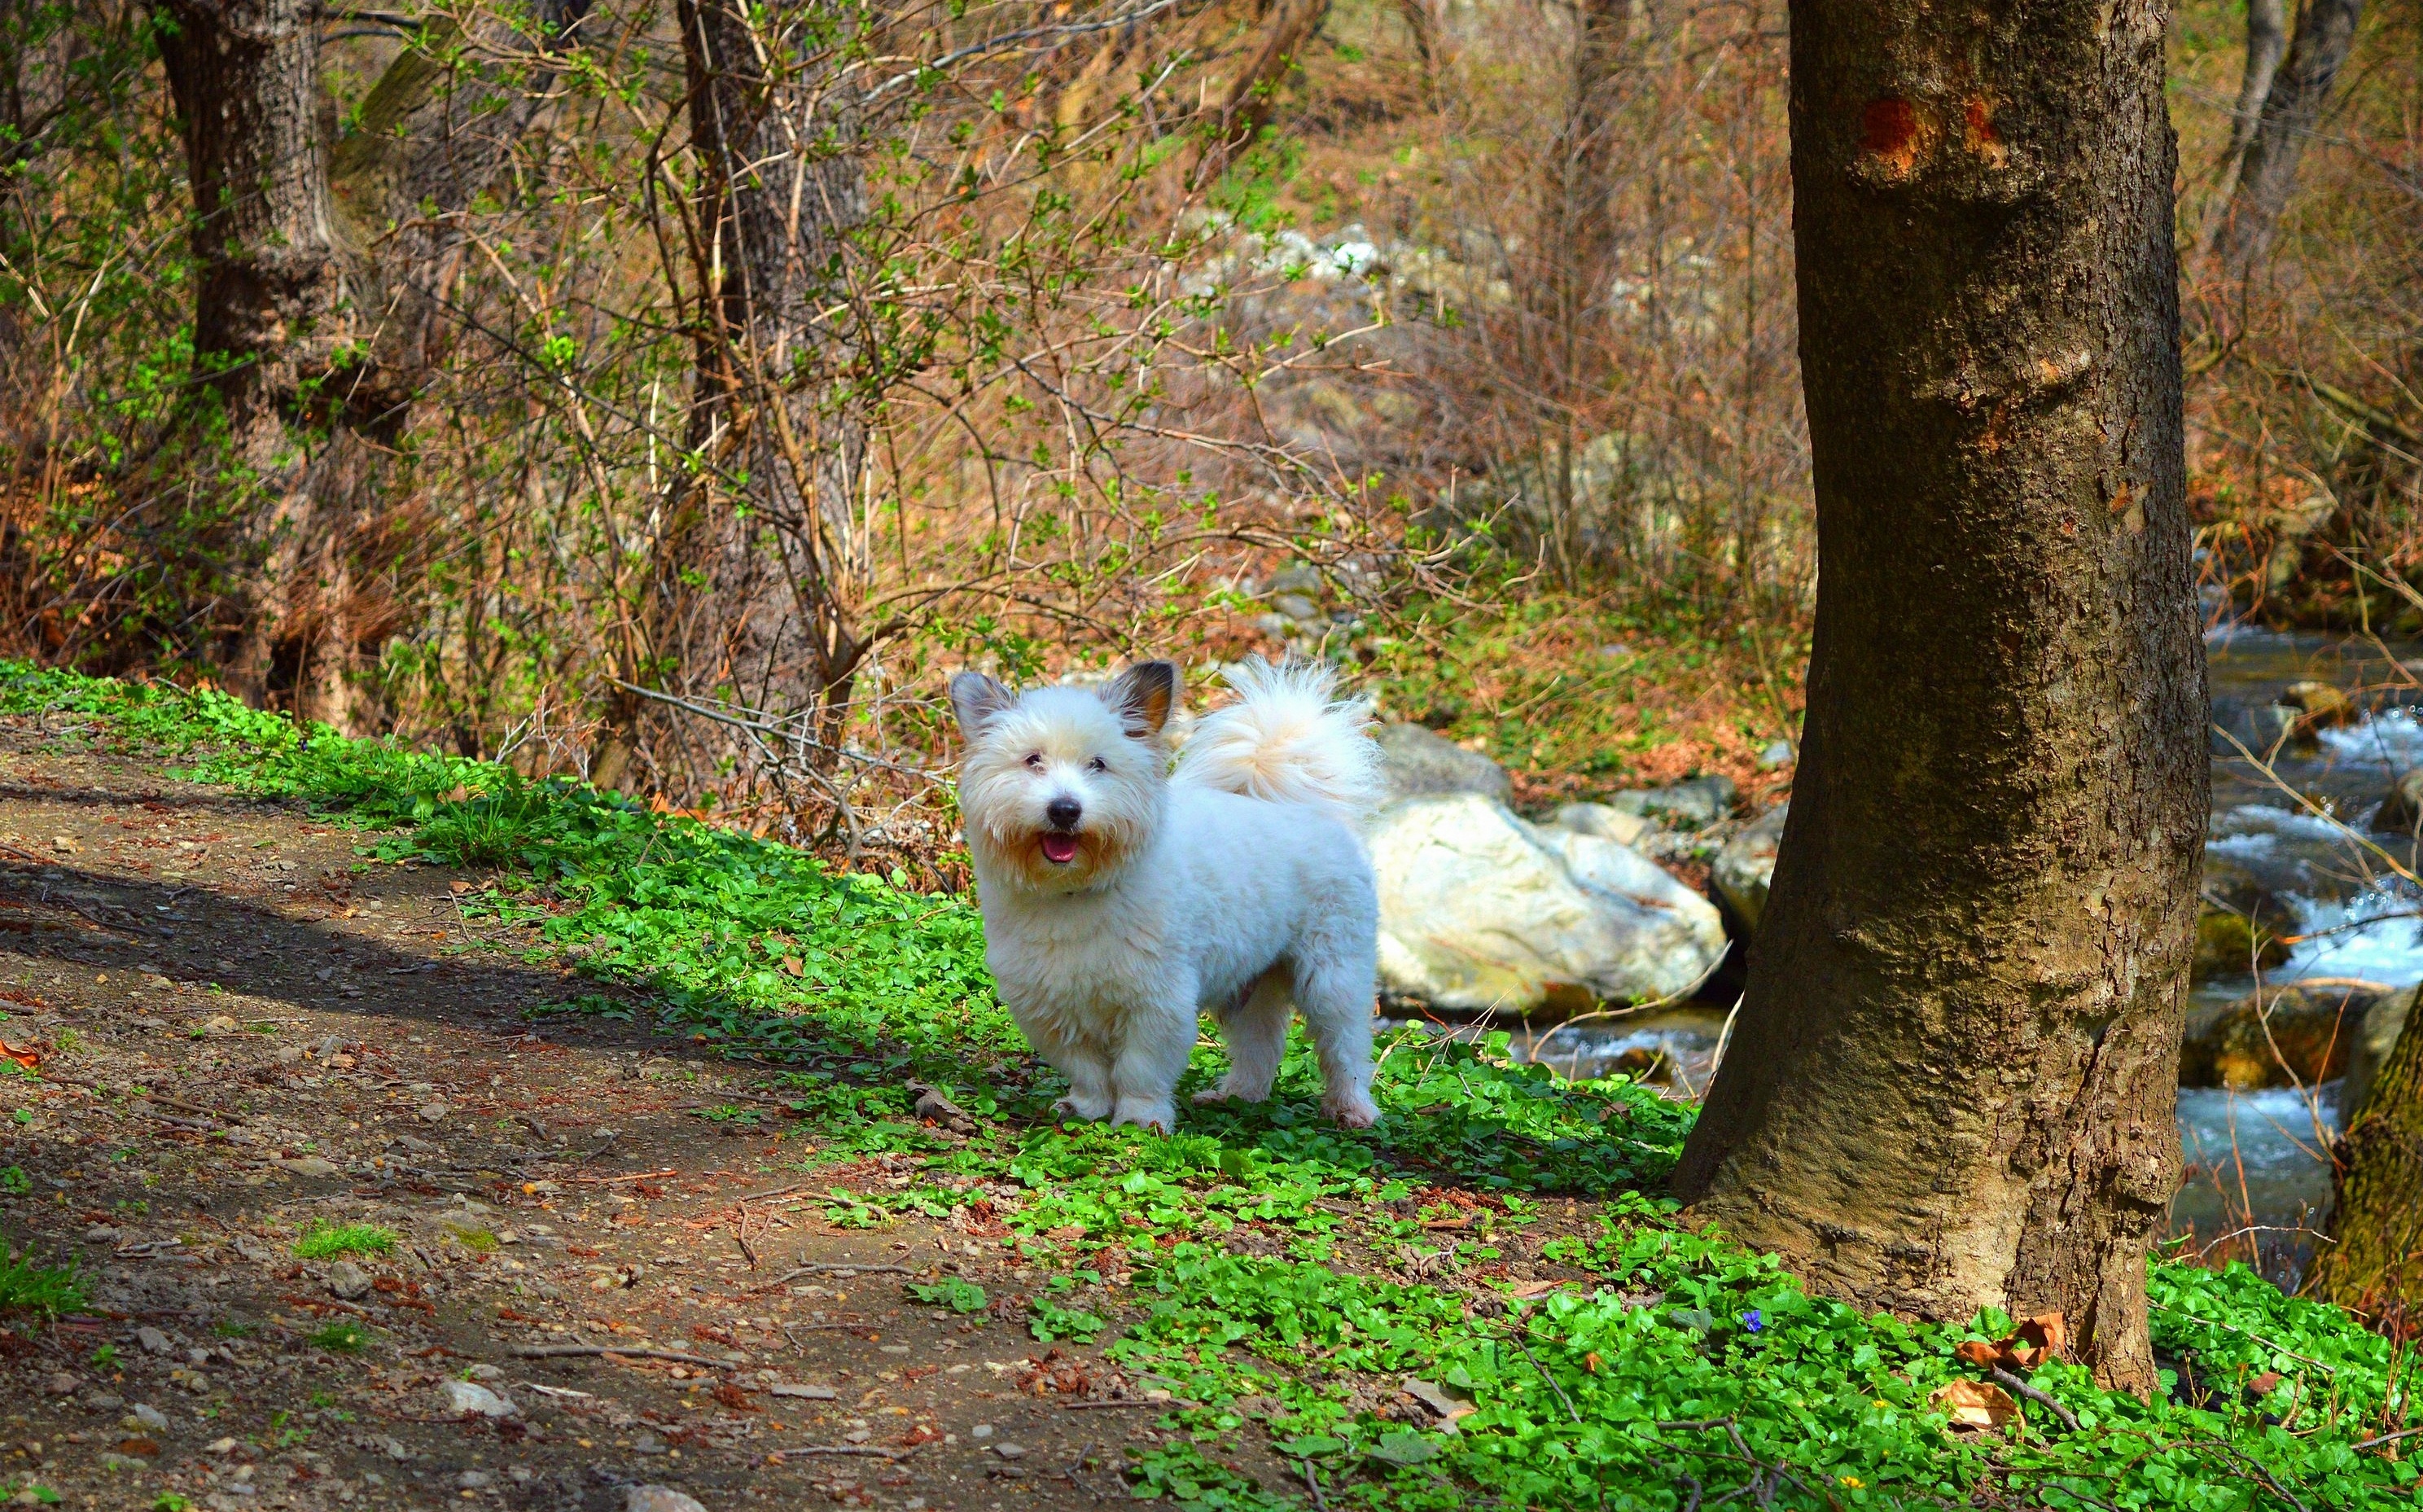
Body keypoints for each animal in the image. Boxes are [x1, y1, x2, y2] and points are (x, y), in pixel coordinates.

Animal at [954, 654, 1396, 1129]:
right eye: (1032, 760)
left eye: (1098, 764)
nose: (1065, 809)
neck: (1075, 891)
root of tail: (1308, 808)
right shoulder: (1050, 1005)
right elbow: (1085, 1066)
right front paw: (1087, 1107)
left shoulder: (1157, 1000)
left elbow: (1140, 1067)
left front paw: (1140, 1118)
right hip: (1250, 982)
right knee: (1260, 1043)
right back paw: (1237, 1095)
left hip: (1333, 975)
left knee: (1345, 1047)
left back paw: (1353, 1109)